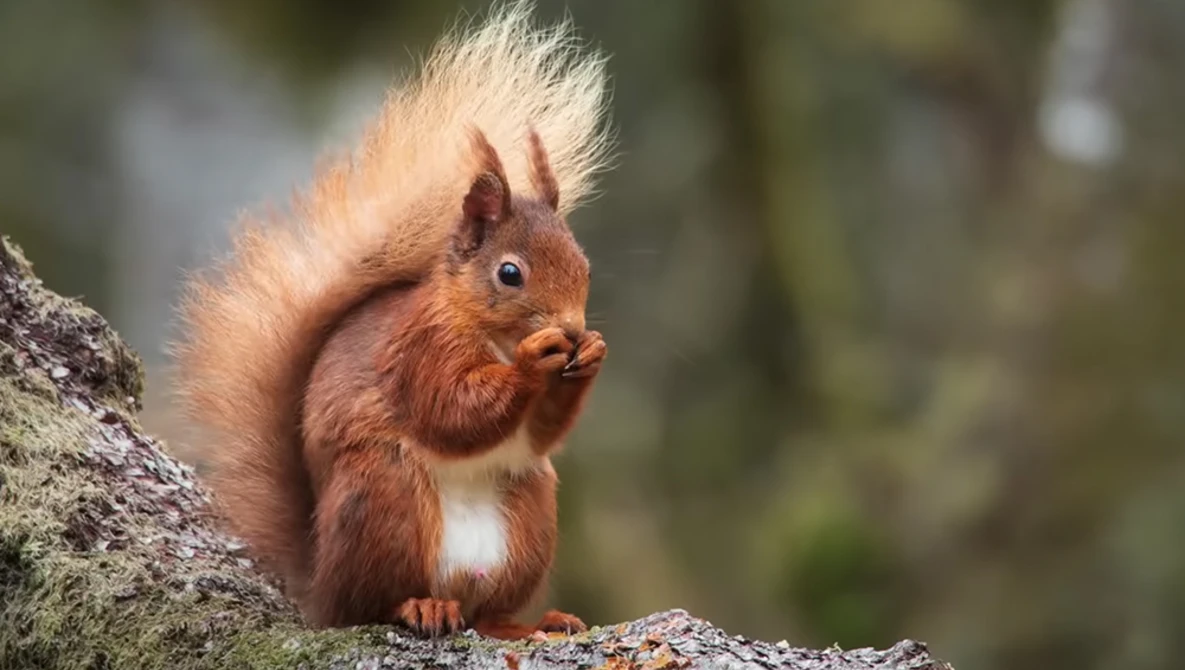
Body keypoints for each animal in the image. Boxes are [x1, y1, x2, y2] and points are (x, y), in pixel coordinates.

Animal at [171, 1, 612, 640]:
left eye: (584, 265)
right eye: (510, 273)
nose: (573, 330)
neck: (490, 335)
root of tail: (319, 588)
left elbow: (540, 434)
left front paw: (593, 354)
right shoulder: (417, 349)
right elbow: (450, 410)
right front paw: (535, 362)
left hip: (529, 508)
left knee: (489, 612)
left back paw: (533, 623)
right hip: (386, 494)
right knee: (369, 605)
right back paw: (419, 606)